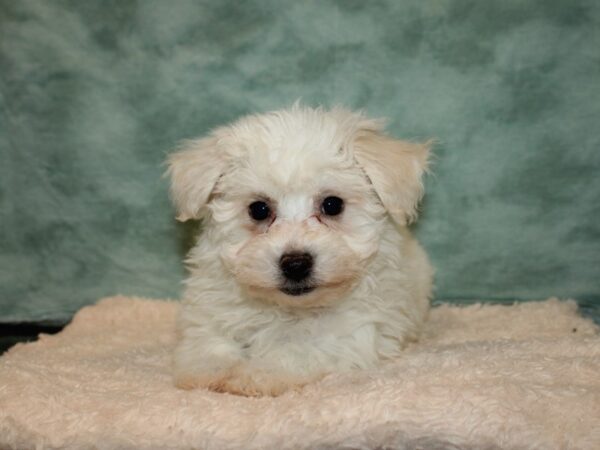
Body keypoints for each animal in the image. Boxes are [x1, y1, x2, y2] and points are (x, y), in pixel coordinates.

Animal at [166, 105, 434, 398]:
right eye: (258, 209)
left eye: (332, 204)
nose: (295, 264)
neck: (290, 310)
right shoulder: (211, 305)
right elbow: (208, 337)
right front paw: (209, 368)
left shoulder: (346, 334)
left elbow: (296, 350)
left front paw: (258, 373)